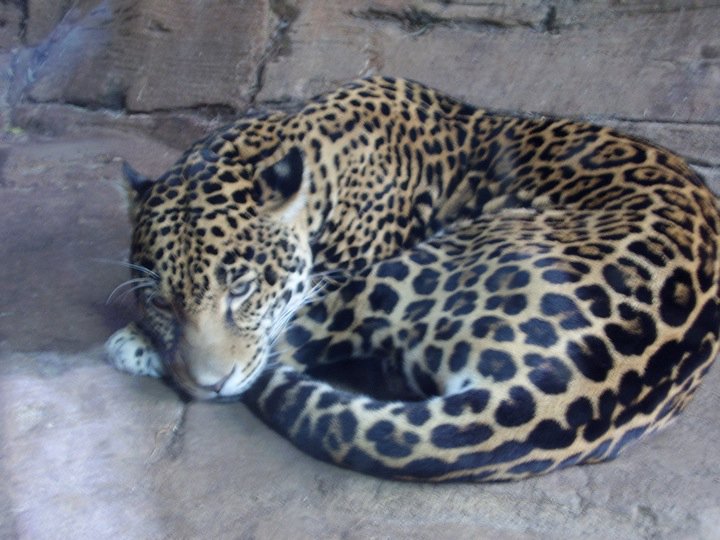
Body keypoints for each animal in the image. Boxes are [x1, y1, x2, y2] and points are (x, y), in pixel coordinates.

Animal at [106, 76, 720, 482]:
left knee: (294, 348)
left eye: (242, 289)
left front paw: (139, 344)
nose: (209, 384)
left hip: (397, 275)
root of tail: (560, 387)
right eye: (161, 301)